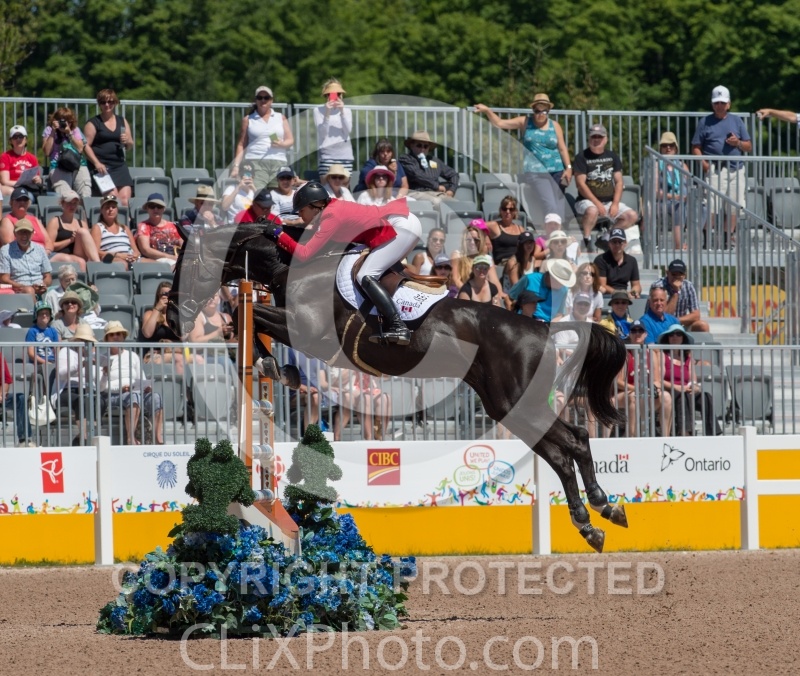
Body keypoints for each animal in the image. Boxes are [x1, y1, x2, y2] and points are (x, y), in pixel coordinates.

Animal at [167, 223, 629, 552]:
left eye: (183, 267)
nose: (171, 320)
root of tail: (543, 328)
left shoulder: (310, 332)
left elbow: (251, 318)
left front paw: (271, 364)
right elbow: (251, 322)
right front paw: (278, 367)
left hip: (518, 401)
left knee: (574, 441)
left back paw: (599, 509)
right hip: (506, 406)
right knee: (562, 450)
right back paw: (594, 519)